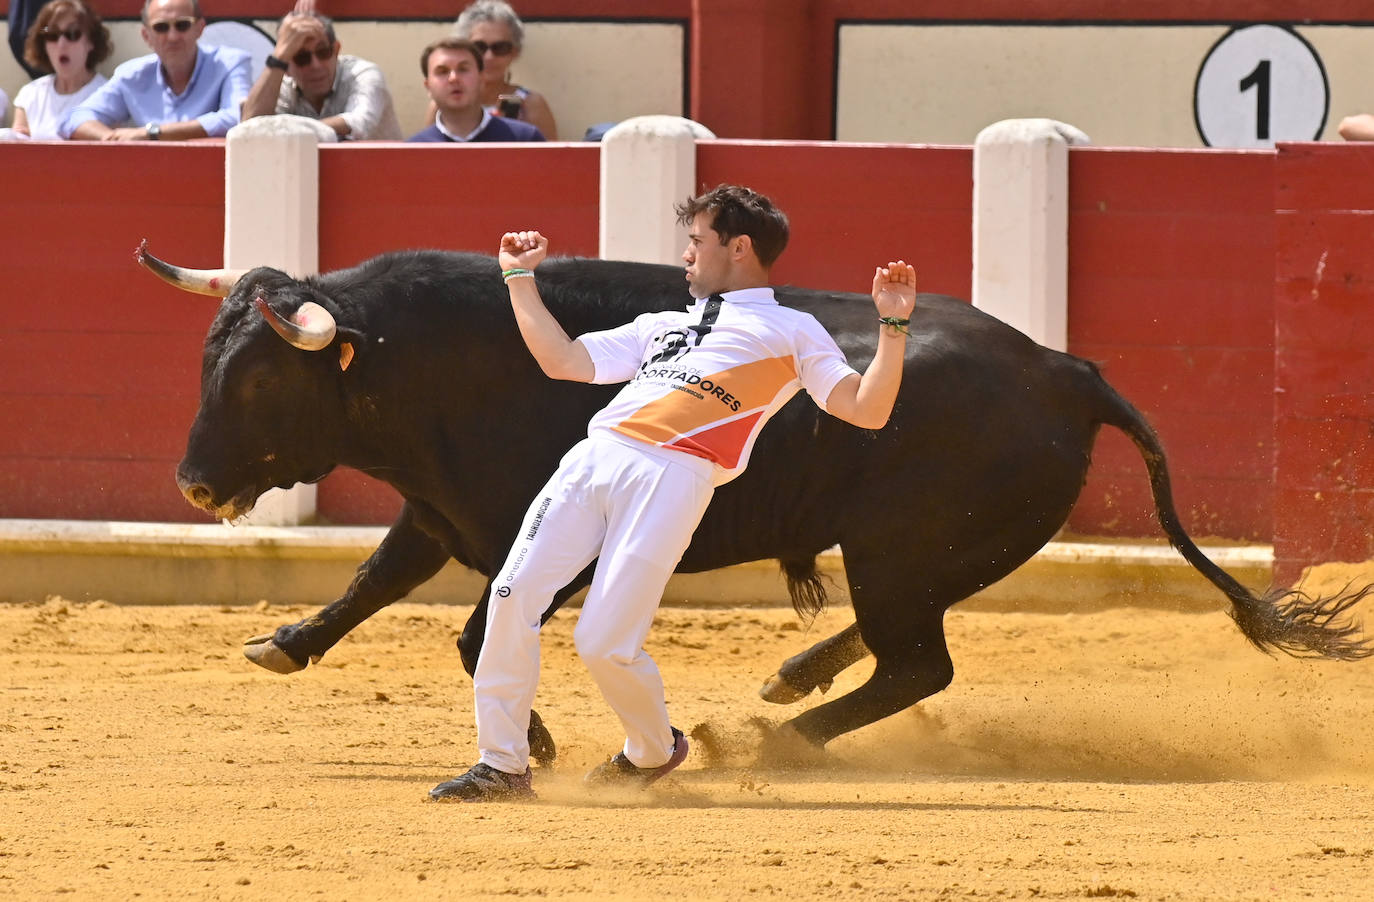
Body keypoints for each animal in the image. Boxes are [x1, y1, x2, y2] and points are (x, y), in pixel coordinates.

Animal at [136, 244, 1363, 759]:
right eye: (204, 359)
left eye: (259, 379)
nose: (193, 481)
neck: (421, 358)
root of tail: (1067, 368)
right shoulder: (443, 512)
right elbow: (375, 578)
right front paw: (284, 640)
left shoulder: (542, 534)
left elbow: (479, 630)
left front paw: (533, 735)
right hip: (924, 553)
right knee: (901, 640)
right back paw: (792, 678)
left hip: (903, 546)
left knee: (920, 663)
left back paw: (775, 734)